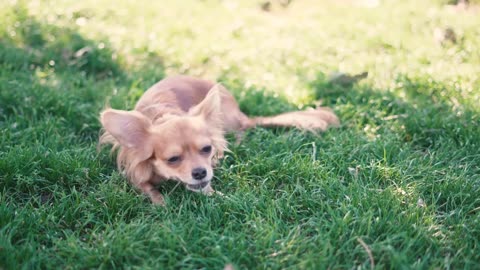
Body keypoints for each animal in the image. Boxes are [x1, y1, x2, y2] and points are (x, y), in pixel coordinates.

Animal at [98, 75, 338, 206]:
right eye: (173, 159)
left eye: (207, 149)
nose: (200, 172)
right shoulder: (135, 169)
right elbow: (148, 188)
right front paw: (161, 203)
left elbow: (210, 190)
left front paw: (222, 197)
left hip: (229, 120)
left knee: (241, 130)